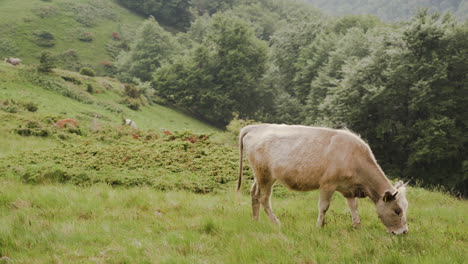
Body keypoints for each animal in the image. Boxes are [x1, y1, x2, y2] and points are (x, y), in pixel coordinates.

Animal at [239, 124, 408, 235]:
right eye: (397, 210)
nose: (404, 232)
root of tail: (256, 127)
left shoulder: (349, 189)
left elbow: (353, 207)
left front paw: (357, 226)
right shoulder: (328, 184)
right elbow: (324, 207)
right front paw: (319, 226)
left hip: (260, 176)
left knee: (254, 194)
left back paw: (255, 221)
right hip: (265, 176)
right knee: (264, 198)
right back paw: (276, 222)